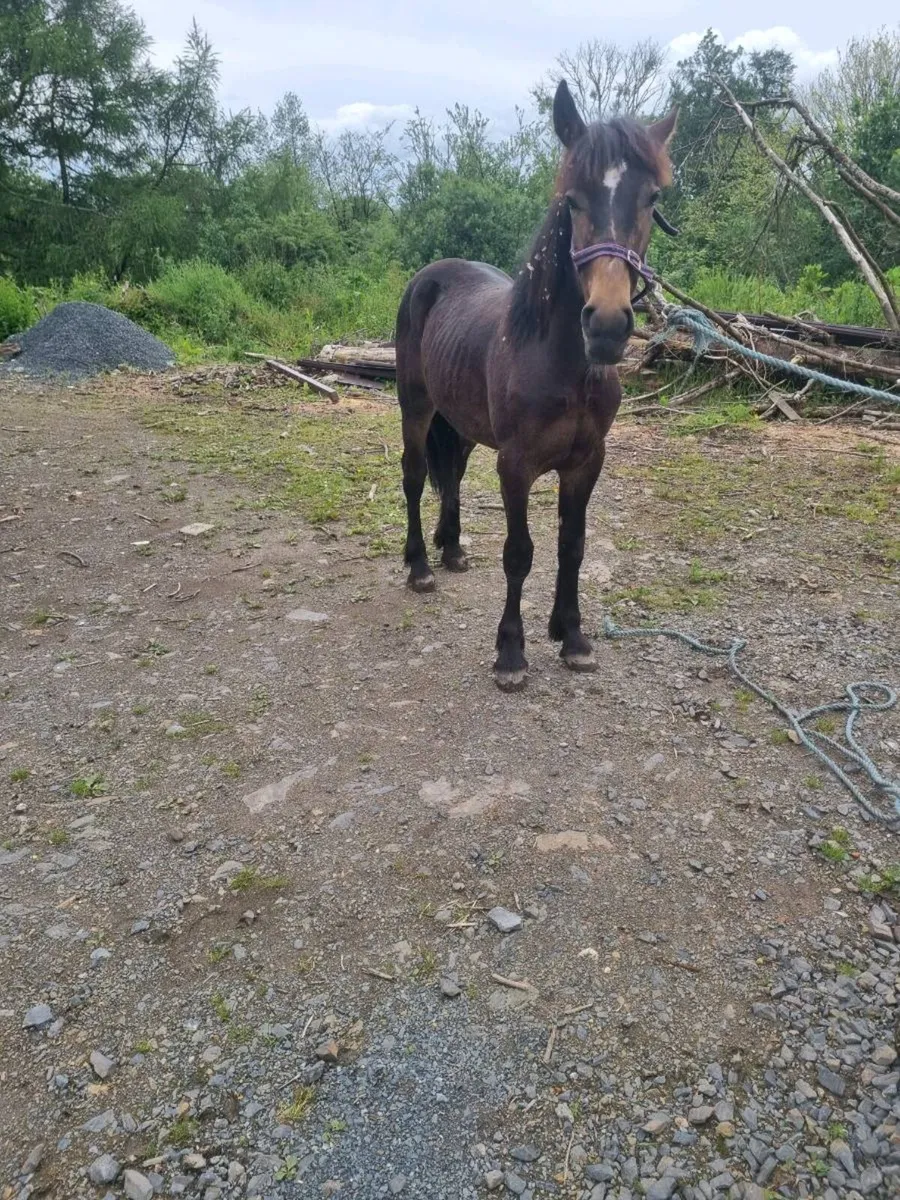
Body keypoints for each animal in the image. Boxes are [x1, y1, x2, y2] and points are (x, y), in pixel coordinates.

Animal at [395, 80, 677, 691]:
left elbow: (572, 545)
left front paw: (571, 637)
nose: (607, 325)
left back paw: (452, 551)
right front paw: (511, 653)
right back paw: (421, 567)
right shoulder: (516, 464)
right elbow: (519, 552)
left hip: (462, 423)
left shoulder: (586, 461)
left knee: (451, 475)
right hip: (416, 407)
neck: (563, 364)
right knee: (414, 477)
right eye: (572, 200)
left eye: (651, 199)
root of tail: (429, 275)